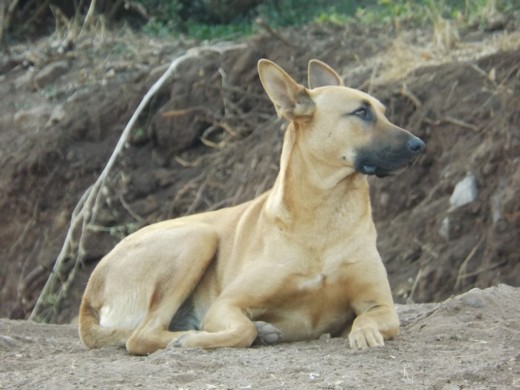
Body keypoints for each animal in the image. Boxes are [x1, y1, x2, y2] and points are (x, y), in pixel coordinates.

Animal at [78, 59, 426, 354]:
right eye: (361, 113)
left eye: (383, 111)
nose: (420, 145)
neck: (325, 214)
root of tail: (89, 294)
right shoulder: (226, 304)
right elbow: (239, 330)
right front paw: (200, 338)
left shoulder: (380, 304)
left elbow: (368, 319)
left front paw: (364, 333)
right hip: (198, 237)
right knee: (141, 336)